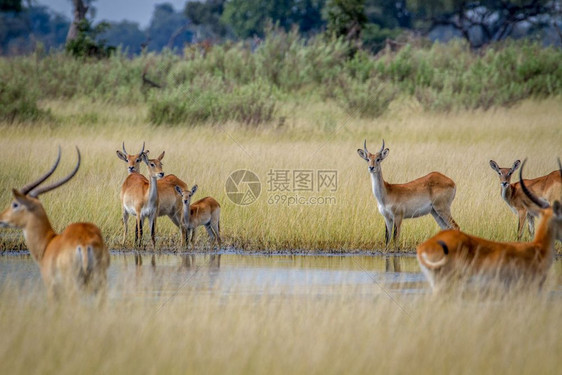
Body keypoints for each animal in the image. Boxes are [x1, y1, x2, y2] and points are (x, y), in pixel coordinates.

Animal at [0, 148, 109, 300]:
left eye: (15, 204)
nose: (1, 218)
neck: (47, 242)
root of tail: (84, 243)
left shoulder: (51, 287)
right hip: (100, 282)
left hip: (73, 285)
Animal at [414, 159, 560, 294]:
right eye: (500, 172)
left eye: (510, 172)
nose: (504, 183)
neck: (514, 192)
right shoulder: (529, 215)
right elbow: (531, 232)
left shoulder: (523, 212)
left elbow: (520, 232)